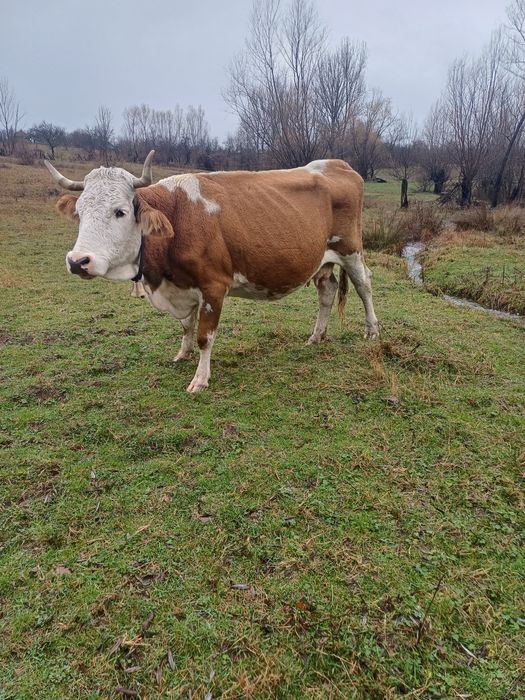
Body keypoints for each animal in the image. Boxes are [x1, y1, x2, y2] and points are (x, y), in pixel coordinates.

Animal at [45, 152, 379, 393]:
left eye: (120, 212)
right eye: (80, 212)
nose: (78, 261)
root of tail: (337, 164)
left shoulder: (214, 286)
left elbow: (205, 335)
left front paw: (200, 379)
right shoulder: (183, 286)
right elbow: (186, 327)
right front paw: (183, 354)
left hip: (350, 248)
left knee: (364, 286)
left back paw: (373, 332)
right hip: (322, 260)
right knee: (327, 292)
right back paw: (317, 336)